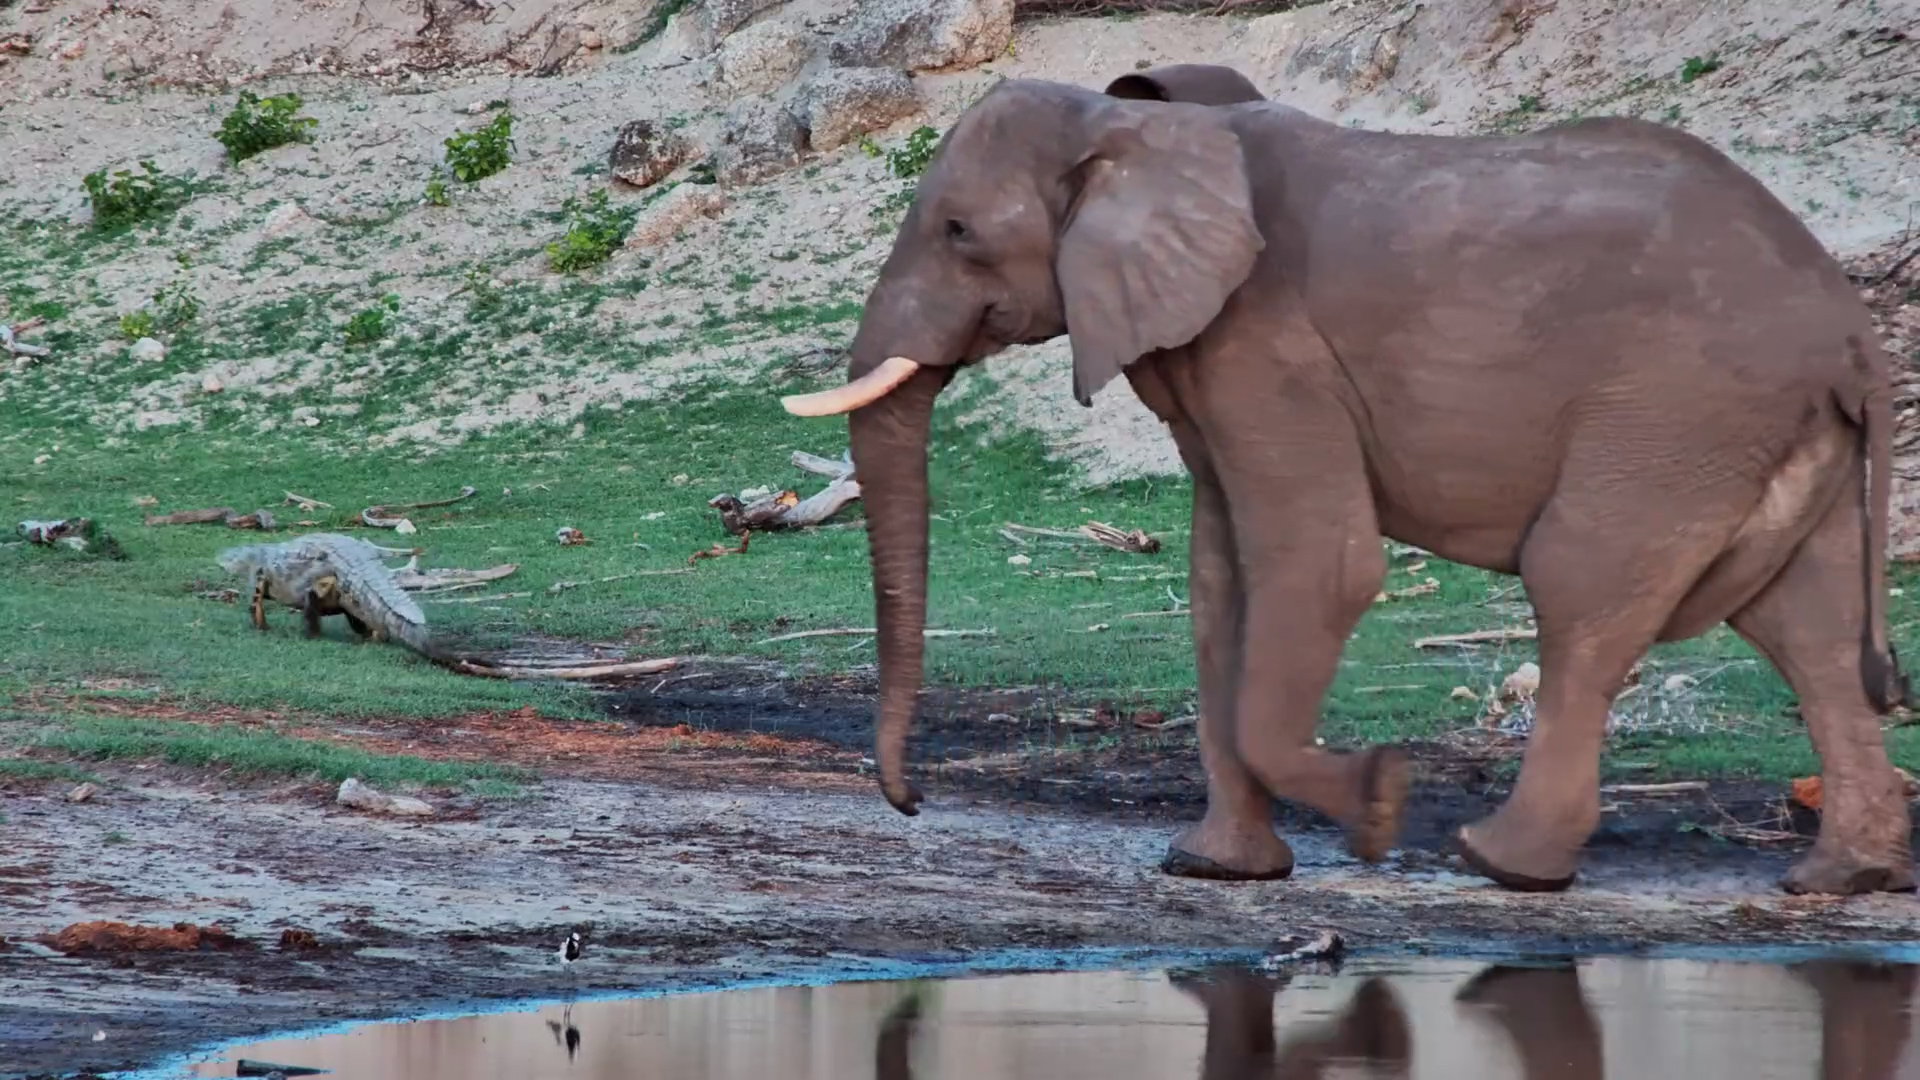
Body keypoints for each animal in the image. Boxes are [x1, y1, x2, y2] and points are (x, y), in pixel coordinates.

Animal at [778, 65, 1915, 896]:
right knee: (1806, 626)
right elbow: (1222, 583)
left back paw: (1500, 862)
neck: (1141, 129)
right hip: (1758, 431)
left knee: (1583, 589)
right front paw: (1216, 870)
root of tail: (1851, 327)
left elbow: (1321, 567)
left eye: (959, 232)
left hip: (1675, 414)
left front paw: (1377, 804)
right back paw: (1838, 878)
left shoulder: (1270, 349)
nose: (911, 804)